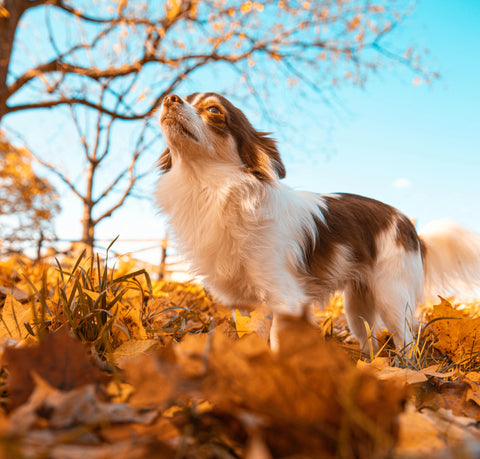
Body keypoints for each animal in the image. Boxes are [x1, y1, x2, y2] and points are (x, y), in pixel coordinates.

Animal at [157, 92, 480, 352]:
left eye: (213, 110)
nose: (170, 98)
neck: (212, 188)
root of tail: (411, 228)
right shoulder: (246, 306)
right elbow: (250, 339)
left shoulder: (287, 299)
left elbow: (279, 343)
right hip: (358, 307)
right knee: (371, 342)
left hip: (392, 297)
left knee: (407, 342)